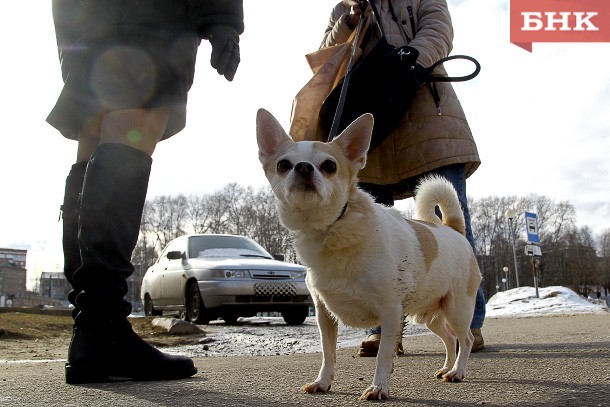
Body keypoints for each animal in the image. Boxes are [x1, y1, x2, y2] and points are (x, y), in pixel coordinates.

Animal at [254, 108, 482, 402]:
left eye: (330, 166)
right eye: (283, 164)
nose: (303, 167)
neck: (330, 230)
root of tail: (453, 229)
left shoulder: (391, 313)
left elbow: (384, 354)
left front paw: (379, 387)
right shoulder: (324, 315)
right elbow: (328, 353)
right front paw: (322, 382)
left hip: (458, 308)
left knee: (465, 339)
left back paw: (458, 371)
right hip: (429, 315)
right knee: (449, 339)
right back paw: (446, 368)